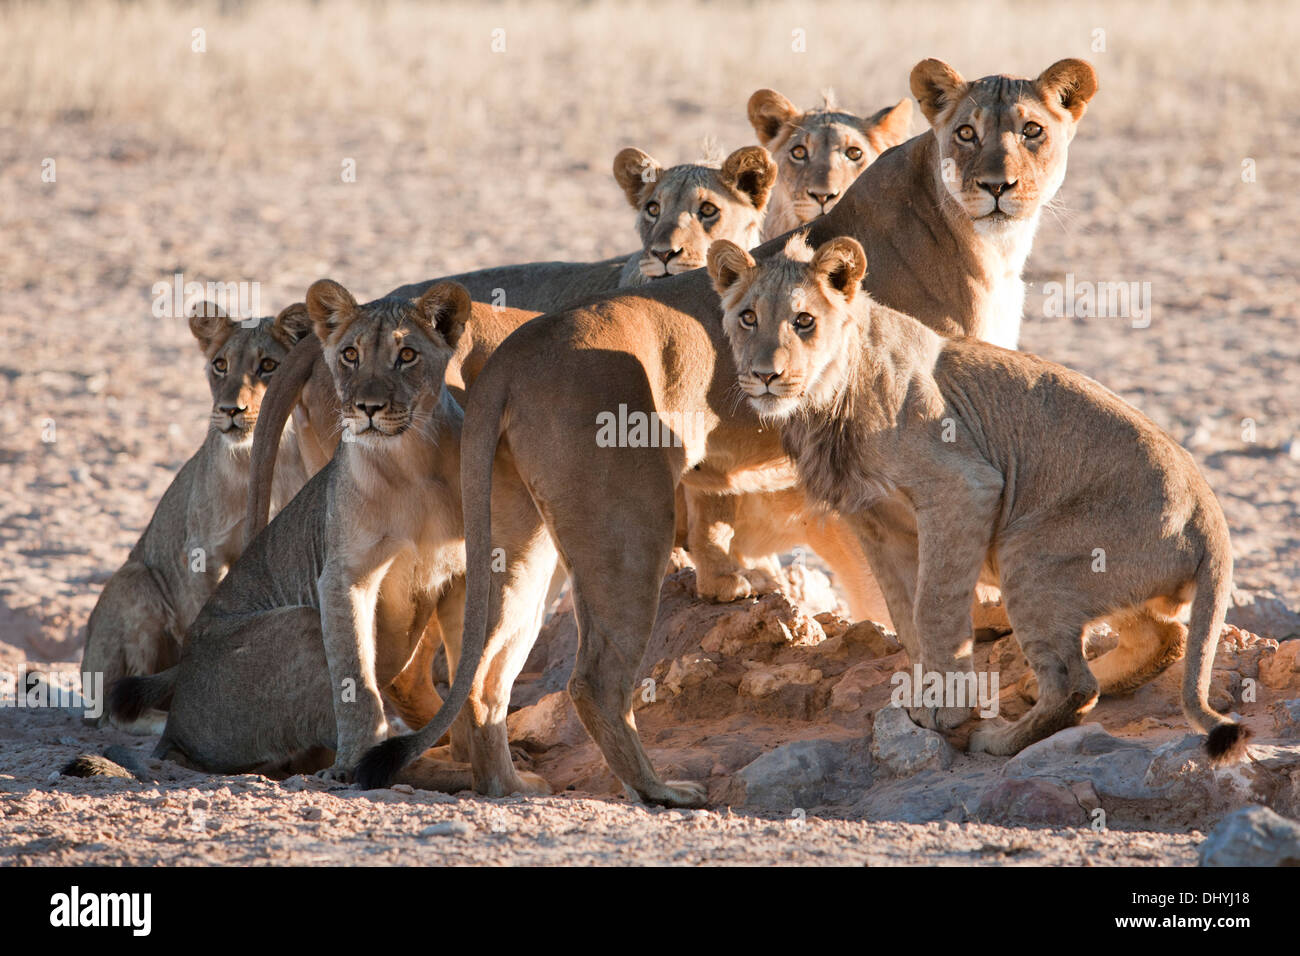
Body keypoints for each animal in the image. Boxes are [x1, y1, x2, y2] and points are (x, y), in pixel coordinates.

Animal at [83, 303, 312, 728]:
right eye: (220, 365)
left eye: (268, 365)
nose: (230, 411)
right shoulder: (201, 555)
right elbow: (200, 624)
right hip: (134, 580)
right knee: (114, 713)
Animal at [707, 234, 1253, 764]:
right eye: (748, 317)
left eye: (804, 321)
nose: (765, 375)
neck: (824, 402)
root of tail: (1210, 514)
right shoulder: (874, 522)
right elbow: (904, 613)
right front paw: (926, 696)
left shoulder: (964, 486)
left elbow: (933, 605)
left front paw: (949, 709)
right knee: (1162, 638)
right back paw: (1037, 688)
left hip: (1028, 552)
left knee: (1077, 686)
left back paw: (999, 739)